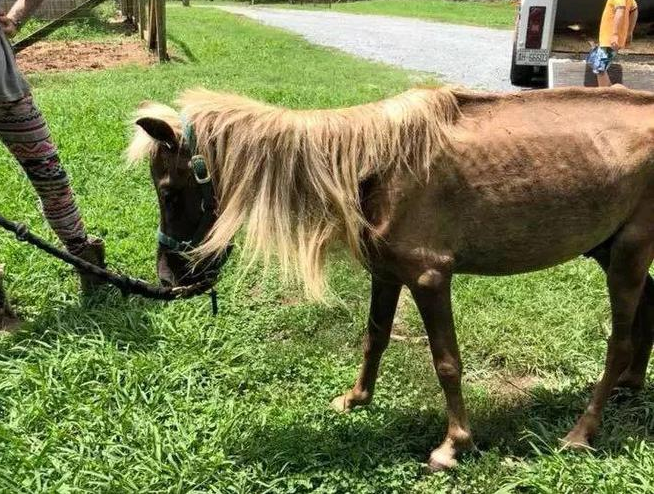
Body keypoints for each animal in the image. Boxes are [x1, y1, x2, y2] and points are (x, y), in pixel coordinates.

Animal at [128, 85, 654, 471]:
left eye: (169, 192)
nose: (168, 276)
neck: (369, 166)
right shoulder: (385, 274)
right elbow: (375, 338)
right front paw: (356, 398)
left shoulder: (429, 277)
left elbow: (446, 362)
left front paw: (453, 444)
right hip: (609, 249)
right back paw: (629, 385)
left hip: (627, 254)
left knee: (619, 341)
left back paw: (581, 433)